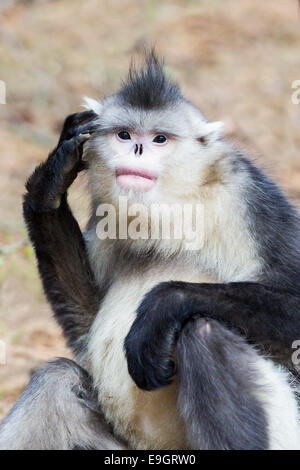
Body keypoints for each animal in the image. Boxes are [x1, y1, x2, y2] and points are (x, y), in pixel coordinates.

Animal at [0, 50, 300, 448]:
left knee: (201, 332)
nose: (138, 149)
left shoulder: (248, 196)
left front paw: (162, 305)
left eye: (159, 139)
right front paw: (48, 186)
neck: (172, 205)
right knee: (55, 380)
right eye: (125, 135)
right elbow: (84, 322)